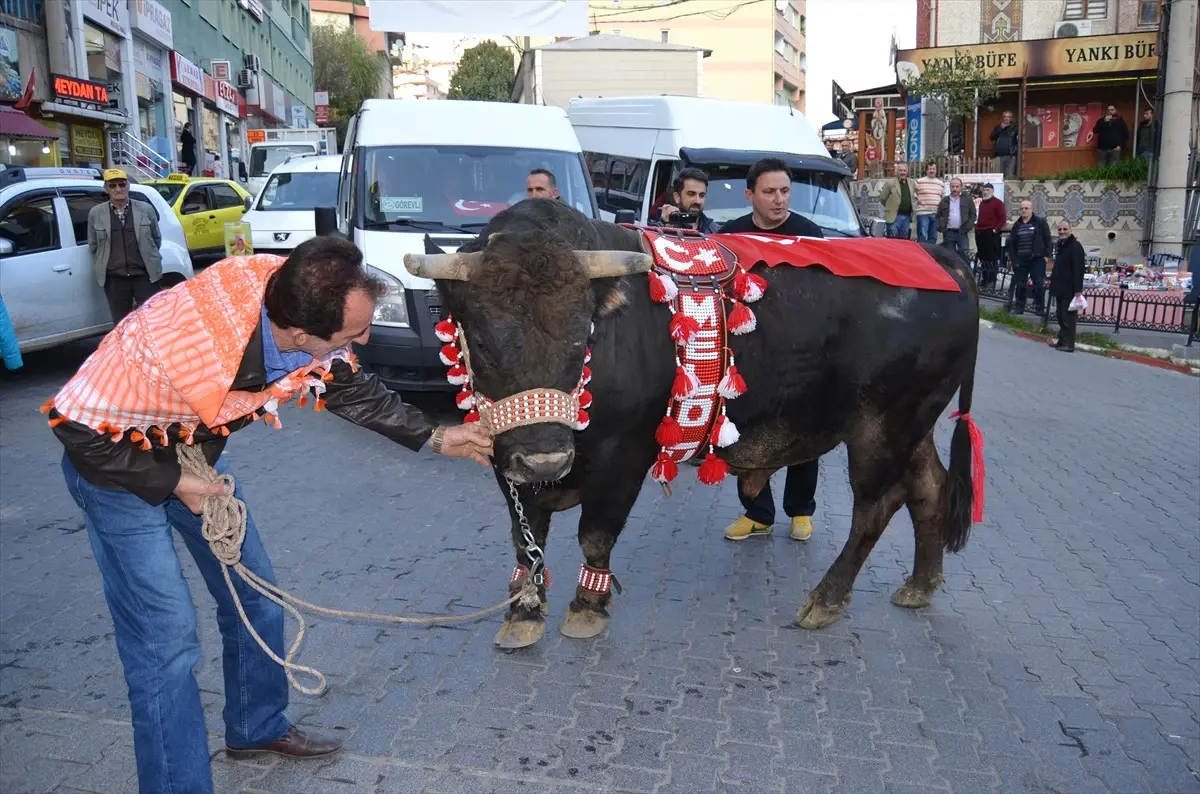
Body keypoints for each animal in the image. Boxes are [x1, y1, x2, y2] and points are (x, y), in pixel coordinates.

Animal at [408, 197, 979, 647]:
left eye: (579, 337)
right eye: (483, 341)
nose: (547, 458)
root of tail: (940, 258)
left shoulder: (625, 455)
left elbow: (595, 535)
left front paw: (587, 607)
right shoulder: (506, 458)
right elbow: (526, 539)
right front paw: (524, 609)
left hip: (883, 429)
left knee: (876, 507)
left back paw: (826, 599)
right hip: (915, 425)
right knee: (929, 488)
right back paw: (920, 585)